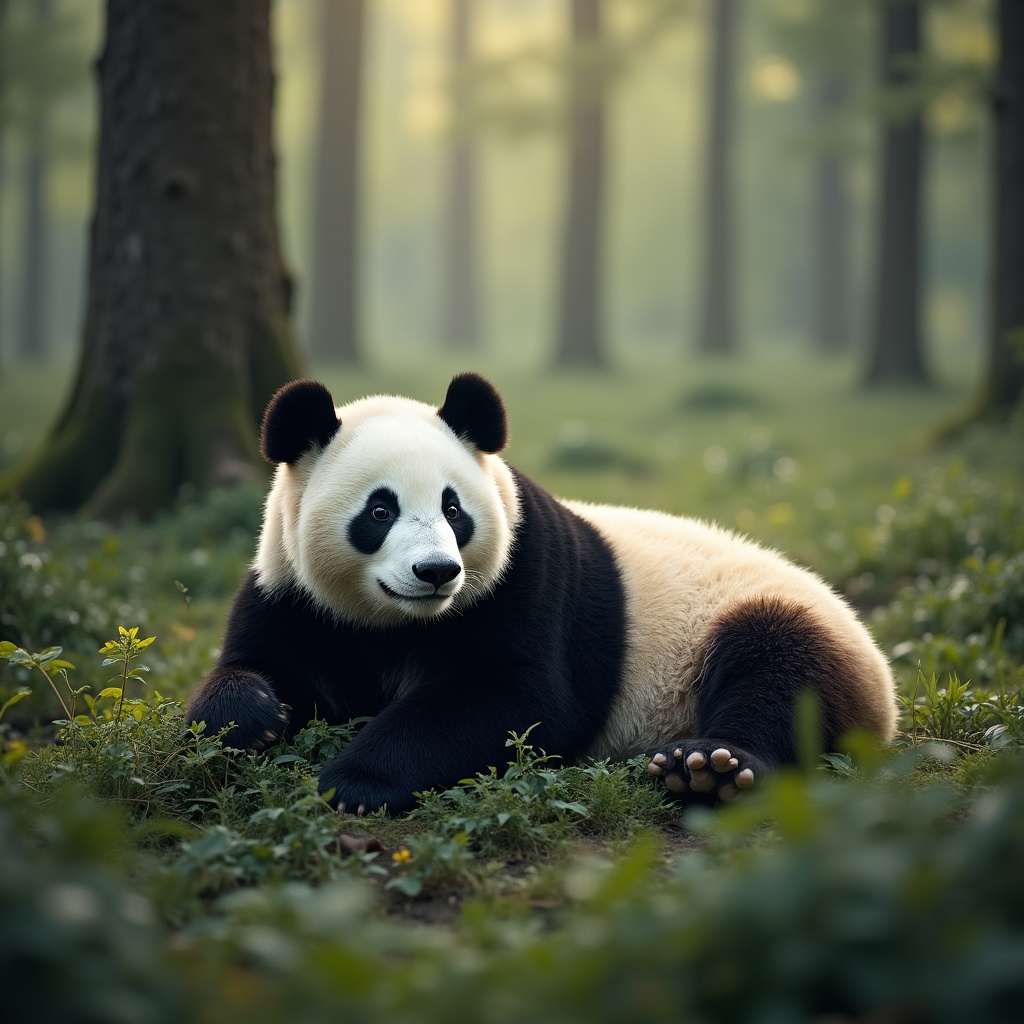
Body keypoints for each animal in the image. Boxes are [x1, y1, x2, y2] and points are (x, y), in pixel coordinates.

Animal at [185, 372, 897, 815]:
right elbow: (256, 663)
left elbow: (517, 700)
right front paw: (249, 719)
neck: (397, 622)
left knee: (781, 673)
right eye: (380, 511)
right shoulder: (294, 595)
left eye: (454, 508)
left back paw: (709, 768)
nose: (436, 572)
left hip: (769, 619)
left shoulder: (524, 582)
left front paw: (355, 782)